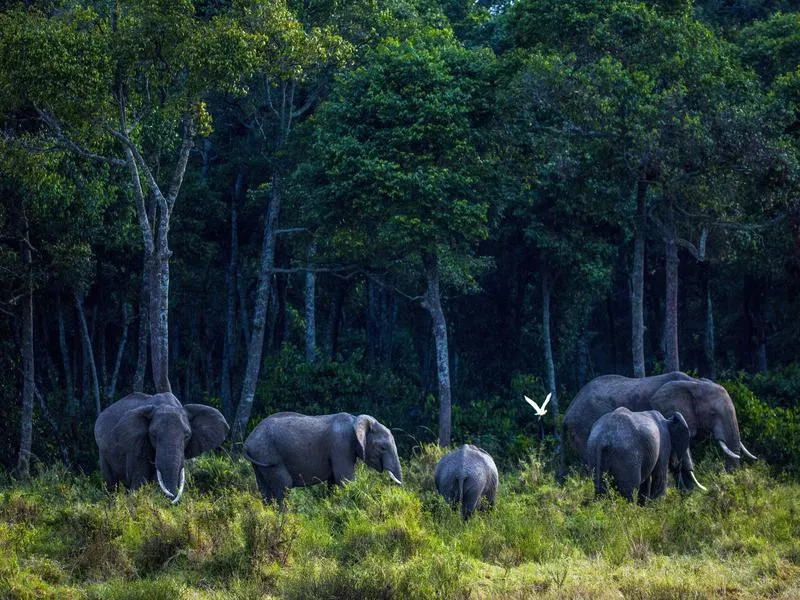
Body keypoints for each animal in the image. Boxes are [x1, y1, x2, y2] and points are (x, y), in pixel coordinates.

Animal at [95, 394, 231, 502]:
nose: (172, 499)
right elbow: (139, 482)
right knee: (110, 485)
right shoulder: (136, 446)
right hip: (102, 451)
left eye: (187, 436)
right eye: (153, 435)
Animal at [242, 410, 406, 504]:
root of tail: (247, 443)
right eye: (382, 448)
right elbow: (345, 479)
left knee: (264, 489)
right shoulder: (340, 445)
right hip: (267, 455)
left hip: (259, 459)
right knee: (284, 486)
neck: (355, 421)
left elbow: (334, 483)